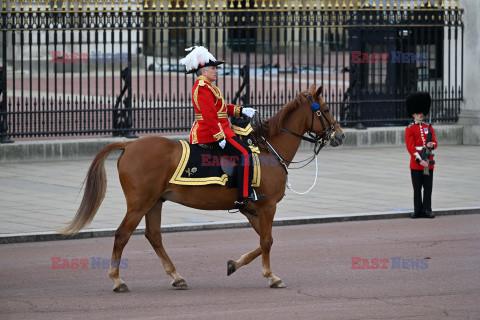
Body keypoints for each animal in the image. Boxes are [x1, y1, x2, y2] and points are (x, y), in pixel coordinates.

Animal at [61, 84, 344, 292]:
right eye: (326, 108)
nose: (340, 135)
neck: (267, 149)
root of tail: (129, 144)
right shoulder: (267, 205)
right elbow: (267, 240)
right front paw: (270, 275)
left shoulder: (252, 208)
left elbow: (263, 241)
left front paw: (235, 264)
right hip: (139, 203)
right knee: (122, 235)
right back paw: (118, 280)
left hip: (154, 202)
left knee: (154, 236)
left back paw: (176, 276)